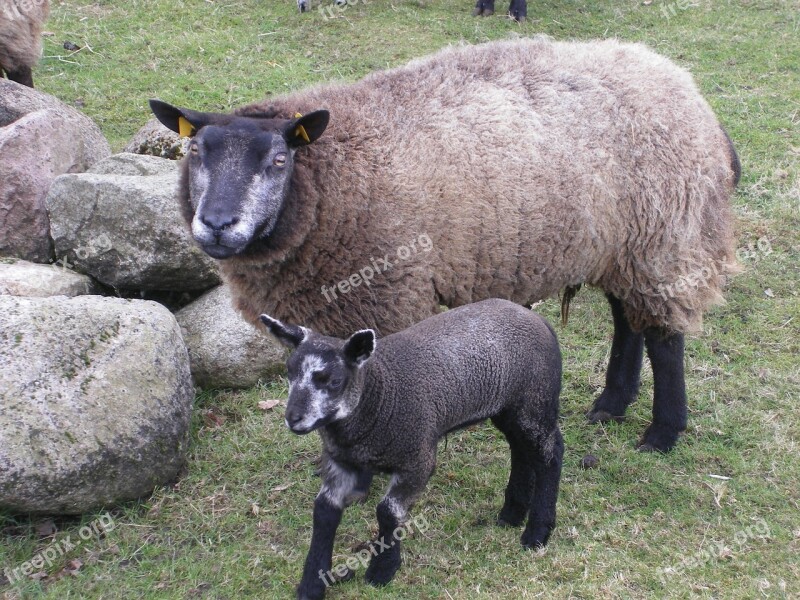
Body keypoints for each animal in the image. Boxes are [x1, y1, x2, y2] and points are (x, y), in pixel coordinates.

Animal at [148, 35, 736, 452]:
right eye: (194, 152)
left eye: (277, 160)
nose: (217, 223)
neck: (333, 182)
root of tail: (681, 82)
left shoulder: (382, 296)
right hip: (621, 244)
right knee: (627, 320)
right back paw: (611, 403)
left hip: (663, 236)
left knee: (664, 337)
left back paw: (662, 432)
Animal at [262, 300, 564, 600]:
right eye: (289, 373)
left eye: (334, 381)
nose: (294, 418)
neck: (378, 396)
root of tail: (540, 320)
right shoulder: (340, 463)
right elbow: (324, 511)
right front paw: (312, 585)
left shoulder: (418, 460)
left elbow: (387, 511)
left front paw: (382, 570)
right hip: (509, 407)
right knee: (521, 450)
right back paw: (511, 515)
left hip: (535, 400)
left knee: (550, 453)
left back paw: (536, 532)